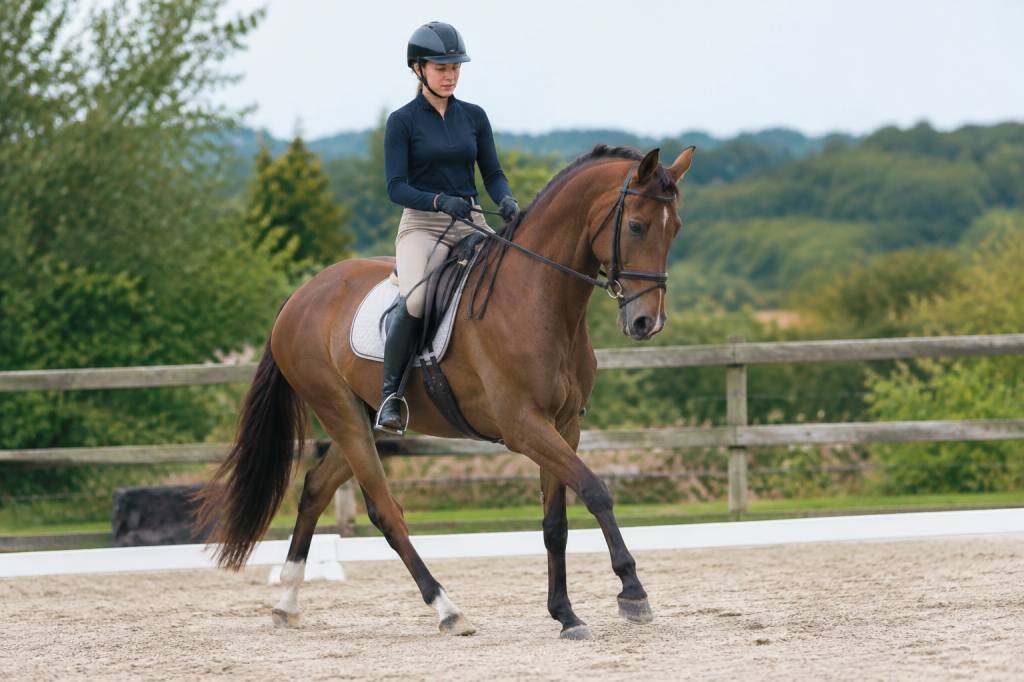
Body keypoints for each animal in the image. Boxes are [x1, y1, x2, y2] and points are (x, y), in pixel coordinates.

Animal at [195, 143, 695, 640]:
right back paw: (446, 609)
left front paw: (565, 614)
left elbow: (556, 522)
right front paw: (632, 592)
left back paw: (287, 601)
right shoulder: (524, 427)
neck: (538, 297)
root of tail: (300, 297)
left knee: (316, 488)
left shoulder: (563, 426)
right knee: (385, 510)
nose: (647, 322)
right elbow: (594, 490)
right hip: (340, 412)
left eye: (676, 229)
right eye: (636, 225)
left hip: (360, 417)